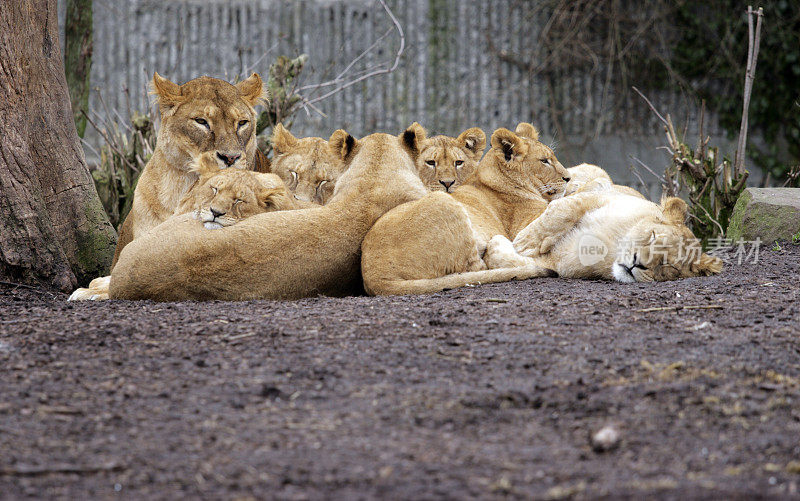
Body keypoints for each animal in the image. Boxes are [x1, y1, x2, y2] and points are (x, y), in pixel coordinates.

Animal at [484, 191, 720, 282]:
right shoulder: (600, 196)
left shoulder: (557, 265)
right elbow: (563, 208)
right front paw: (525, 241)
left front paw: (502, 245)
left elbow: (512, 261)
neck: (611, 246)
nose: (637, 264)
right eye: (653, 237)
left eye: (669, 266)